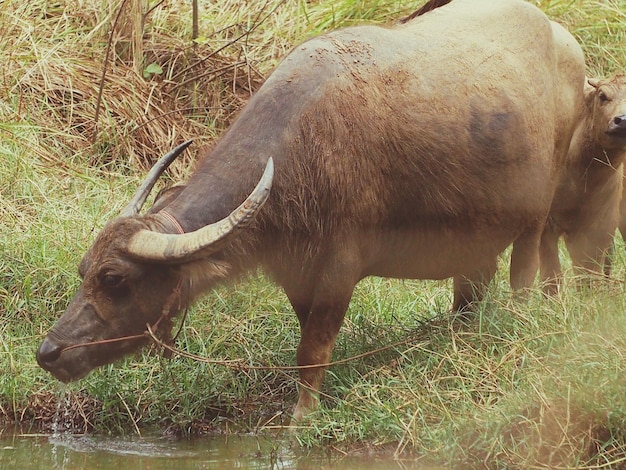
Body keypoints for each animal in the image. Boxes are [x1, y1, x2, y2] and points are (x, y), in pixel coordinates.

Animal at [36, 0, 584, 422]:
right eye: (83, 271)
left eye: (114, 278)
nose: (49, 352)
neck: (301, 154)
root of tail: (563, 39)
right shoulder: (295, 273)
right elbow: (306, 338)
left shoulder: (340, 268)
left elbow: (314, 350)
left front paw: (302, 417)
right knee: (470, 288)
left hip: (536, 214)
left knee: (524, 271)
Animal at [536, 75, 624, 290]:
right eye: (602, 95)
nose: (623, 121)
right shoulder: (546, 225)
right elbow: (552, 276)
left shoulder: (599, 227)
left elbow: (588, 274)